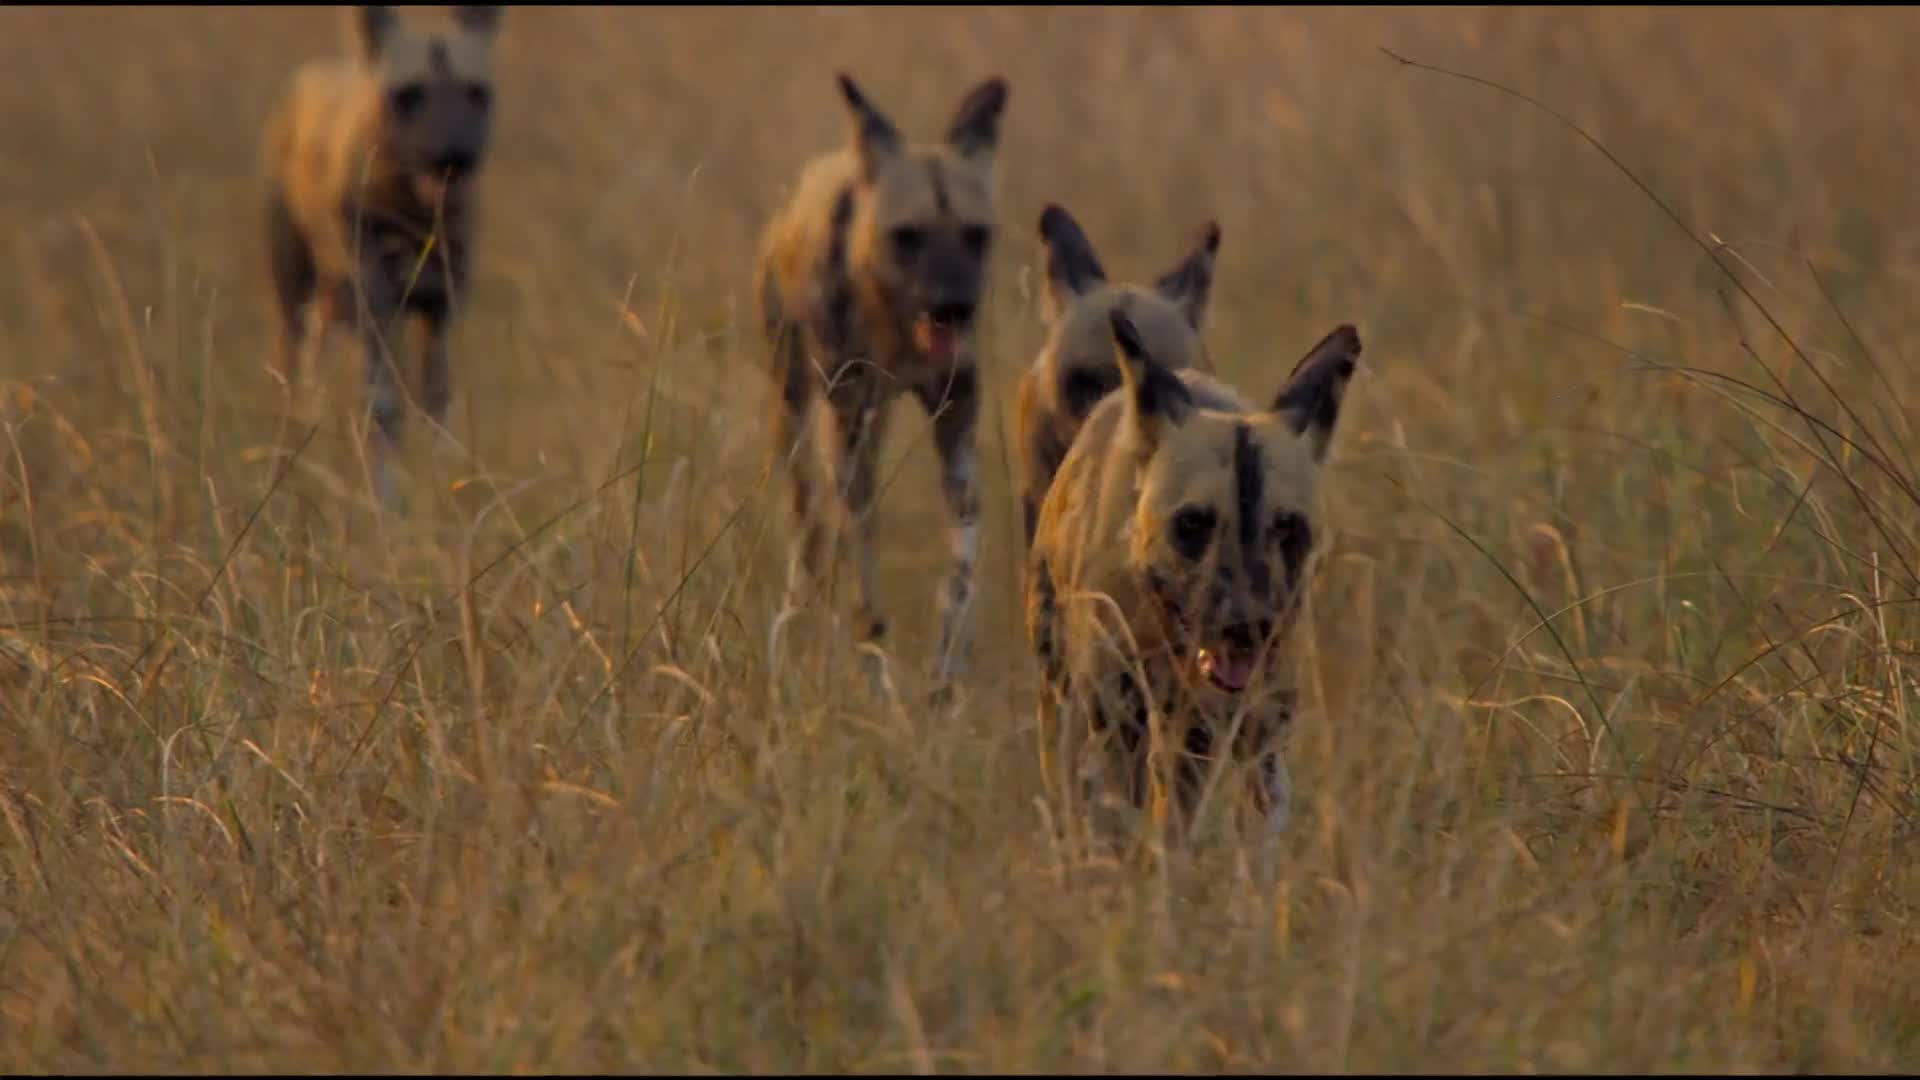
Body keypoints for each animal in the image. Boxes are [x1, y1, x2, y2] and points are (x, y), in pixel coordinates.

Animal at [261, 4, 503, 503]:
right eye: (408, 95)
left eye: (476, 93)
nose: (454, 158)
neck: (418, 218)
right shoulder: (380, 303)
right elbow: (385, 408)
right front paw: (385, 504)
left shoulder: (440, 309)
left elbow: (436, 406)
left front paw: (441, 491)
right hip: (300, 291)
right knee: (292, 368)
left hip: (337, 302)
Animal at [756, 73, 1013, 699]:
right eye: (908, 236)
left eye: (976, 235)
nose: (953, 306)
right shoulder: (847, 424)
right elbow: (861, 572)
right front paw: (874, 669)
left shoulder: (956, 413)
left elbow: (962, 566)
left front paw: (948, 672)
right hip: (801, 415)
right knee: (812, 529)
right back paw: (805, 623)